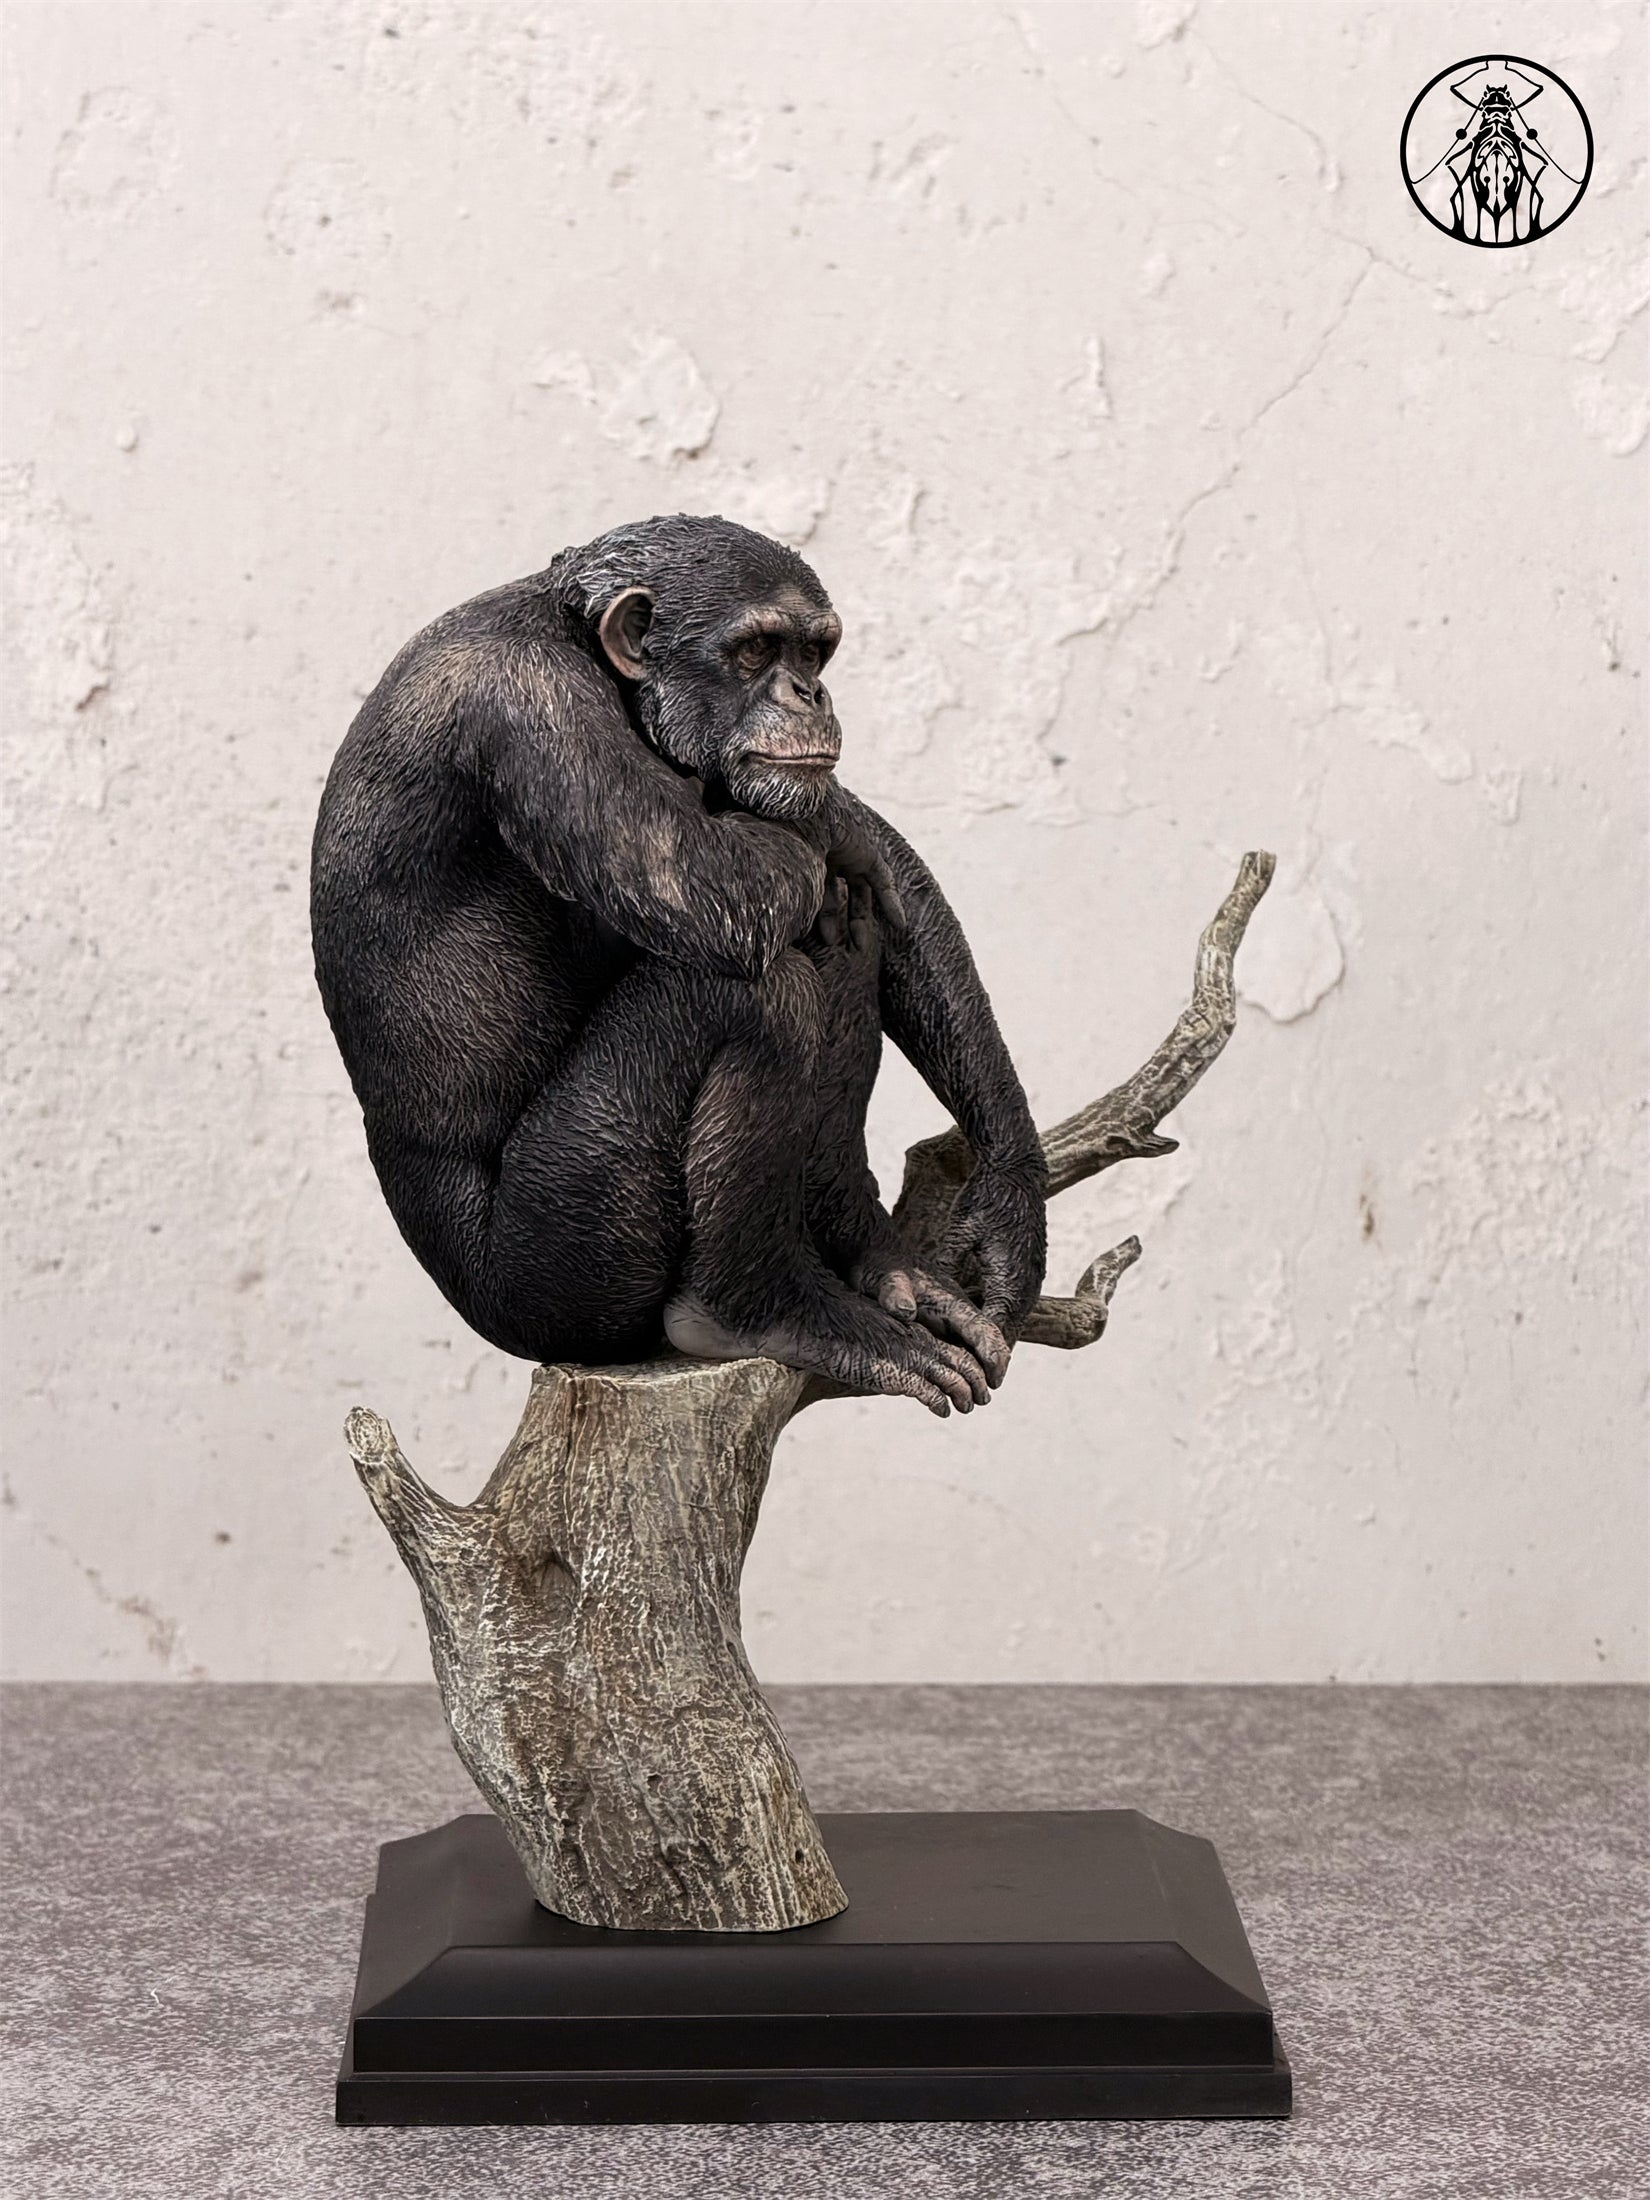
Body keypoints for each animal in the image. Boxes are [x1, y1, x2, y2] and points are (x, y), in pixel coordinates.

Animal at [311, 515, 1047, 1417]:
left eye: (814, 653)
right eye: (757, 648)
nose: (809, 695)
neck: (583, 645)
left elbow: (881, 876)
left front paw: (1009, 1202)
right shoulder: (530, 701)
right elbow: (704, 878)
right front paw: (837, 827)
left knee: (839, 931)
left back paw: (873, 1257)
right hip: (561, 1260)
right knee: (758, 994)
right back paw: (762, 1311)